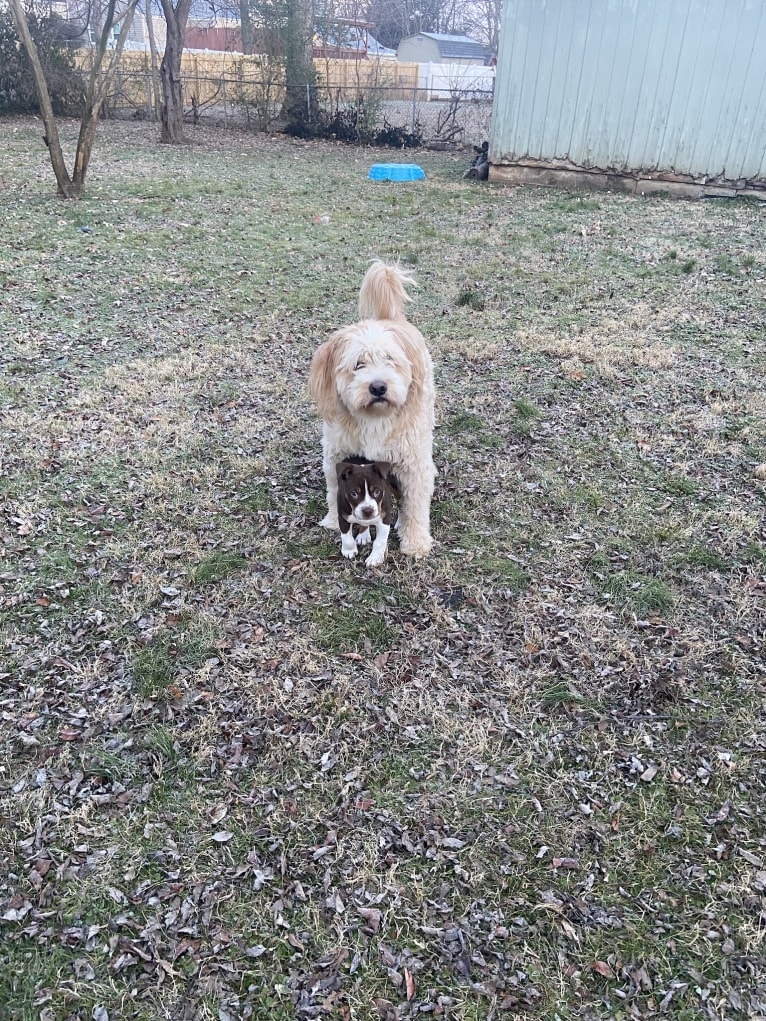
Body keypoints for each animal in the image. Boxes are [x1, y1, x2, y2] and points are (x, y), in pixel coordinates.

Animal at [308, 259, 435, 555]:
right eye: (359, 364)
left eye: (390, 360)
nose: (378, 387)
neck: (374, 418)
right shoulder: (337, 454)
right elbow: (336, 490)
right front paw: (335, 520)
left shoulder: (413, 462)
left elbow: (415, 504)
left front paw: (415, 541)